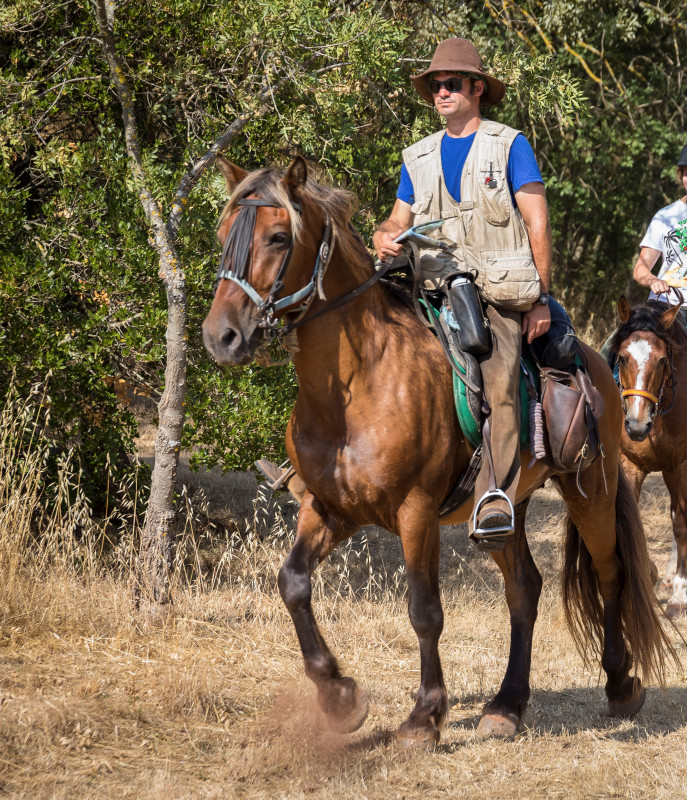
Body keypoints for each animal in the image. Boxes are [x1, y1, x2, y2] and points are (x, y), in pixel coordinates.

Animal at [202, 158, 676, 752]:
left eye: (278, 237)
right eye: (223, 233)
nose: (220, 337)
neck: (359, 382)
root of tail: (597, 362)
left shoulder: (416, 511)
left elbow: (424, 611)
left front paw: (424, 718)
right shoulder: (330, 510)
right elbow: (292, 583)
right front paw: (340, 698)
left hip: (592, 487)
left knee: (610, 571)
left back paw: (620, 684)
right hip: (504, 508)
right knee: (524, 587)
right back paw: (506, 706)